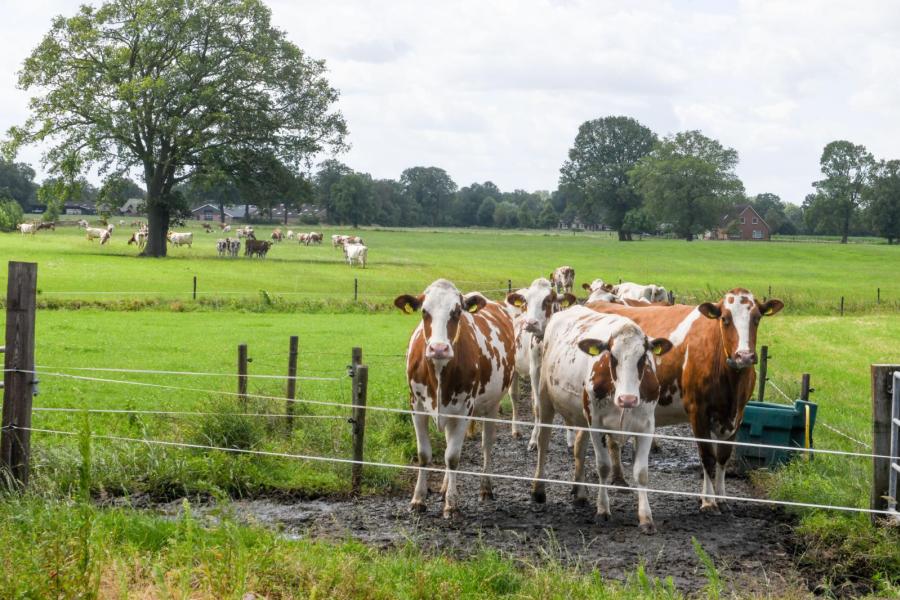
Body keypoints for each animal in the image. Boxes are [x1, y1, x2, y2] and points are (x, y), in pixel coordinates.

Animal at [394, 278, 512, 516]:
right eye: (424, 312)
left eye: (457, 312)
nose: (439, 348)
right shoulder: (416, 406)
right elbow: (424, 454)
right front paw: (418, 499)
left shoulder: (465, 409)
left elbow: (453, 457)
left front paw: (452, 504)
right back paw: (444, 487)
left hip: (491, 405)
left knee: (486, 444)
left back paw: (485, 488)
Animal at [506, 278, 576, 448]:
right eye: (526, 301)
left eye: (548, 300)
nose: (531, 323)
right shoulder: (535, 371)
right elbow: (537, 407)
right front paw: (534, 439)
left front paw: (571, 438)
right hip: (514, 369)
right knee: (515, 396)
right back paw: (516, 429)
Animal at [536, 308, 668, 532]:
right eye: (612, 357)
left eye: (643, 357)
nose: (628, 399)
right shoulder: (596, 424)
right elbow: (603, 466)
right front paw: (603, 510)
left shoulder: (647, 426)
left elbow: (641, 472)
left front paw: (646, 518)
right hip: (545, 396)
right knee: (543, 443)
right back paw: (538, 490)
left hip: (581, 414)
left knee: (578, 447)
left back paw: (579, 493)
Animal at [588, 290, 784, 510]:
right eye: (725, 319)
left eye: (757, 318)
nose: (744, 356)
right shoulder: (697, 411)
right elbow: (707, 456)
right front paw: (708, 501)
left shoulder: (737, 414)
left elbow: (723, 456)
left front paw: (721, 497)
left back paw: (619, 479)